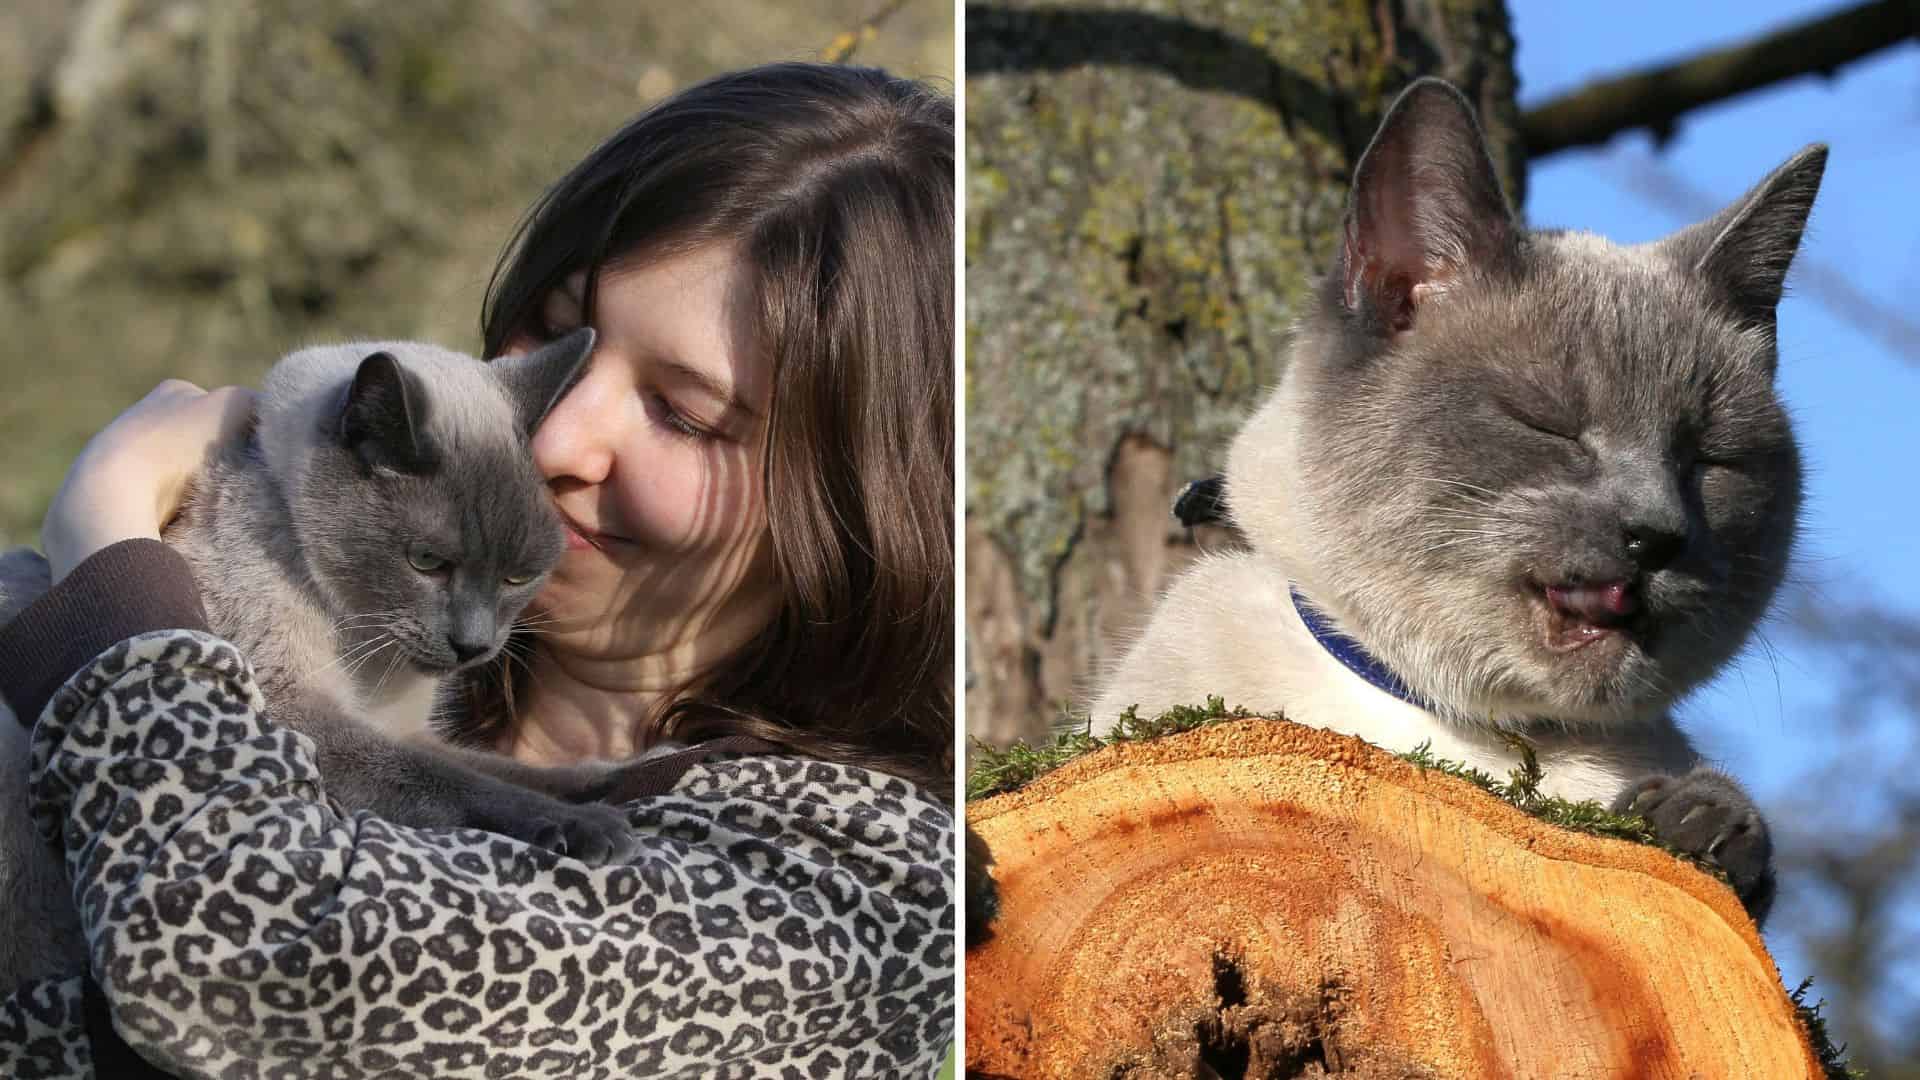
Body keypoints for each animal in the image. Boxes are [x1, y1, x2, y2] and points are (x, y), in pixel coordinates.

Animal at [0, 328, 652, 983]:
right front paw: (591, 828)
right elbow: (458, 782)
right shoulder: (302, 719)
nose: (473, 645)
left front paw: (628, 775)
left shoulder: (403, 730)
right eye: (426, 563)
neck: (371, 660)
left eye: (519, 577)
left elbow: (506, 770)